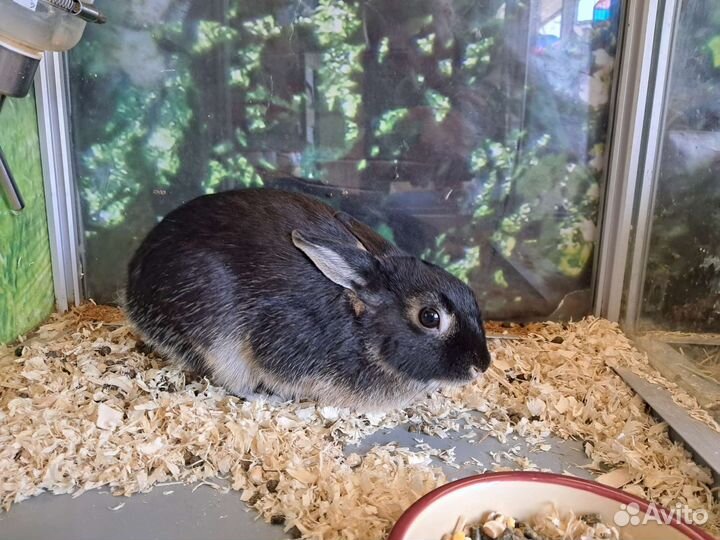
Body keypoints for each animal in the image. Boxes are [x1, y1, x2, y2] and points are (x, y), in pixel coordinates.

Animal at [124, 189, 491, 411]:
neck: (358, 320)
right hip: (216, 336)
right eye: (429, 317)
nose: (482, 366)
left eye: (468, 292)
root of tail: (133, 285)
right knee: (232, 380)